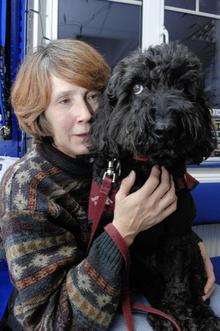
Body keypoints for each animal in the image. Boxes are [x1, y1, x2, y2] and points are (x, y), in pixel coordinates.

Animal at [90, 42, 220, 330]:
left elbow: (179, 283)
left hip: (193, 247)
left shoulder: (178, 236)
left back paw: (203, 315)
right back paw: (161, 315)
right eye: (137, 87)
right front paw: (171, 315)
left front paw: (183, 313)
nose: (166, 127)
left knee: (194, 285)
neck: (149, 166)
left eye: (182, 87)